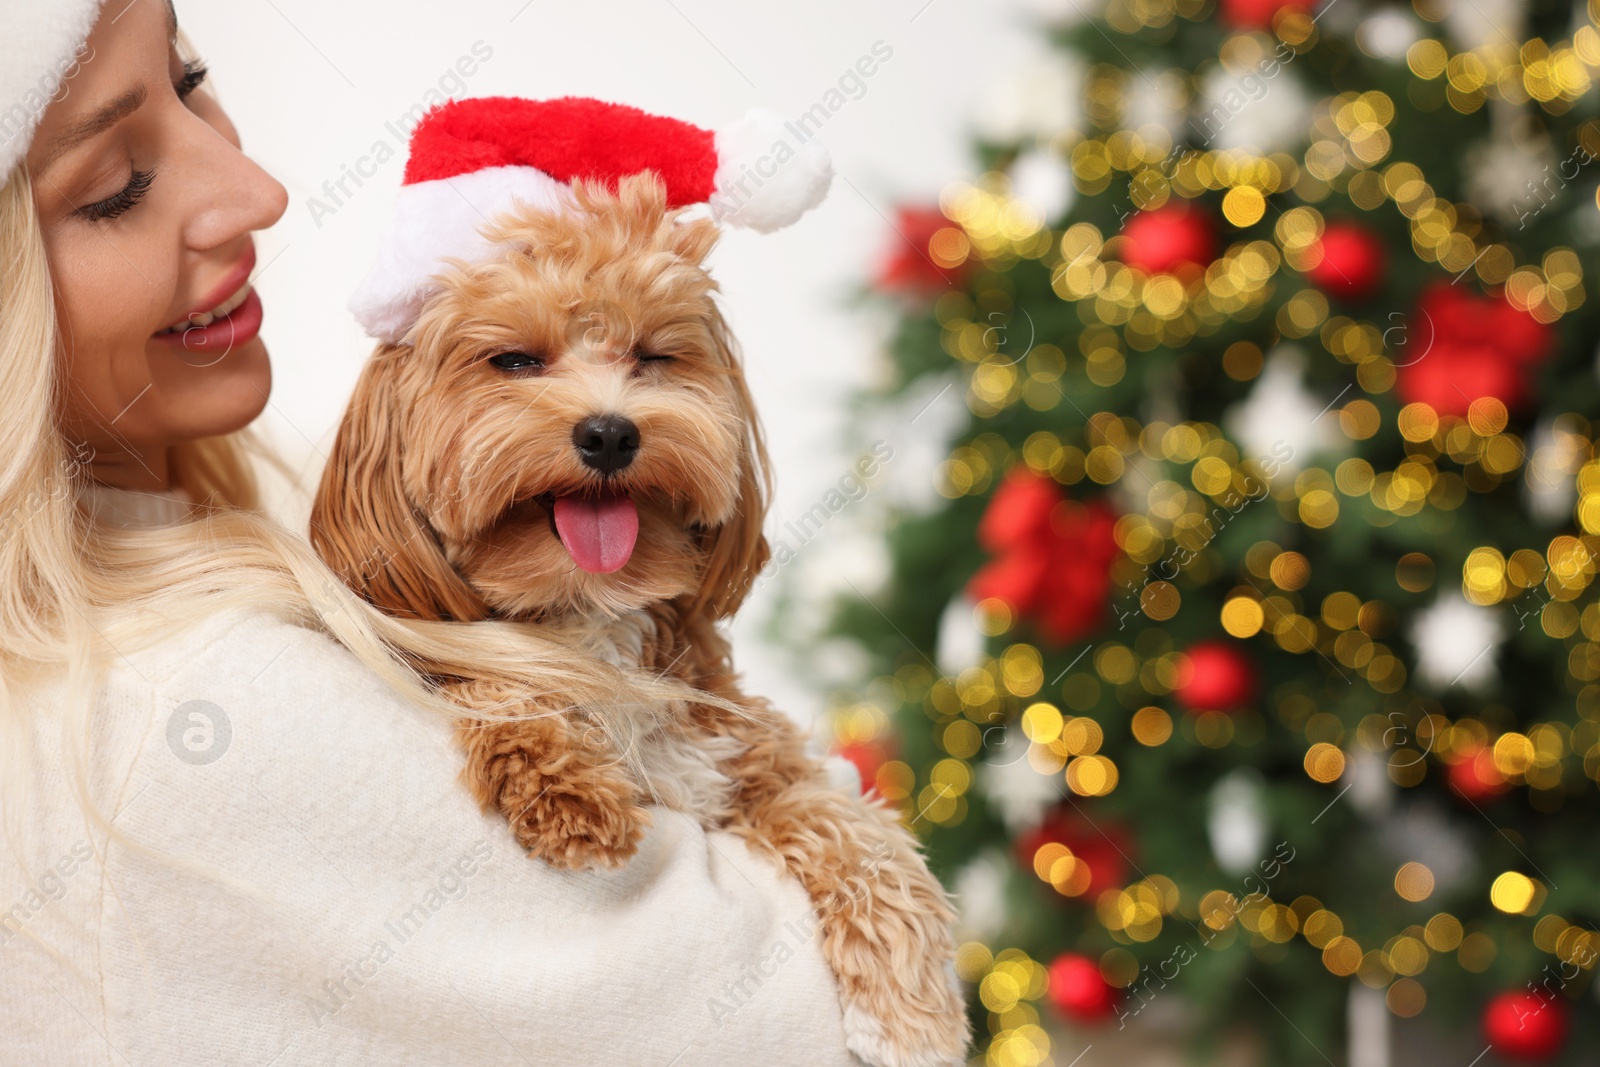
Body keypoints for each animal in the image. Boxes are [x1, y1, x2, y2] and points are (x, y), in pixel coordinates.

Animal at [307, 175, 966, 1067]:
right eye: (516, 360)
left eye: (652, 355)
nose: (610, 431)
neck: (592, 617)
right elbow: (491, 678)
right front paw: (570, 787)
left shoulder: (749, 762)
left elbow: (850, 823)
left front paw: (909, 1011)